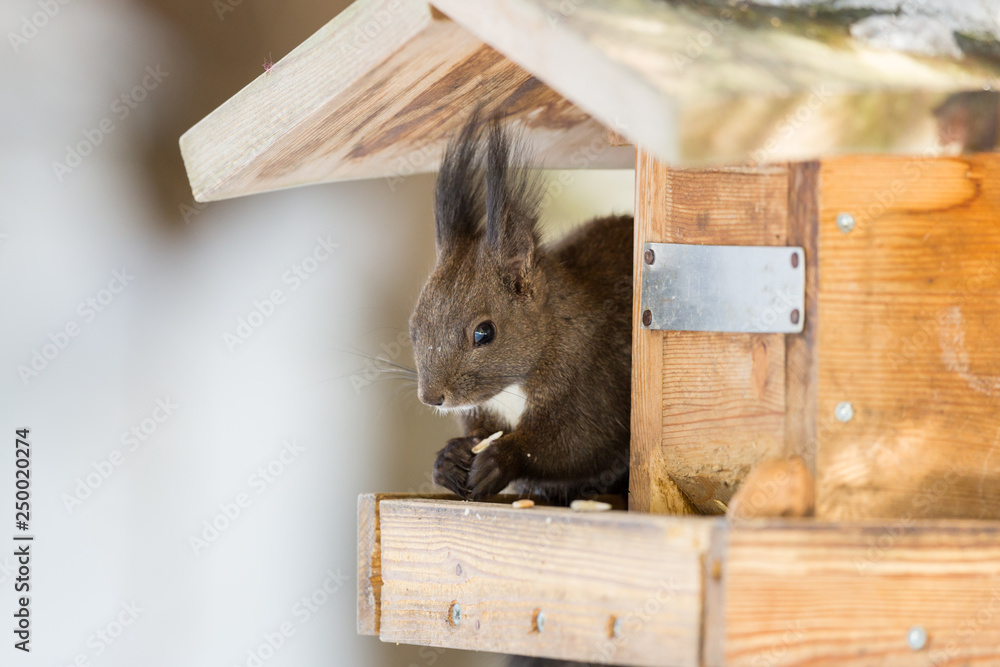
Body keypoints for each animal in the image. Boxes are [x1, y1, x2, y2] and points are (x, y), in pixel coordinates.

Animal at [408, 109, 633, 503]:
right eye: (414, 330)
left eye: (484, 333)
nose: (432, 398)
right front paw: (448, 460)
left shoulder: (596, 382)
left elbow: (579, 446)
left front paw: (502, 458)